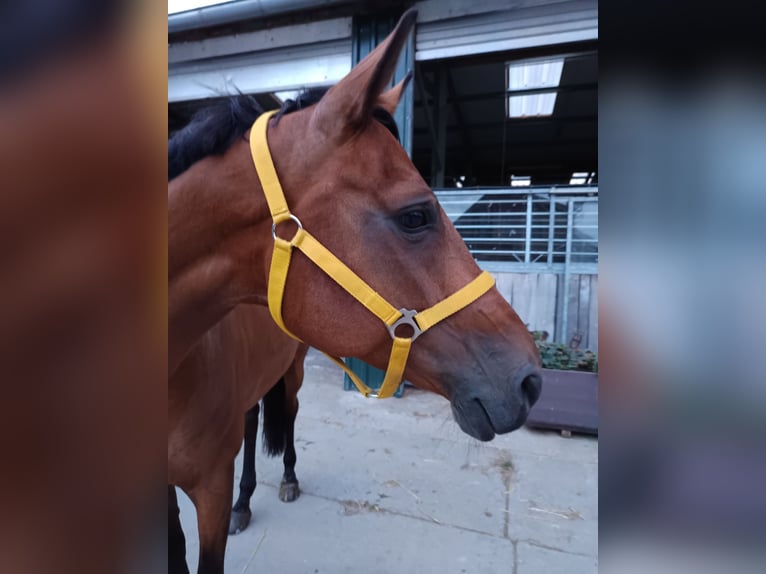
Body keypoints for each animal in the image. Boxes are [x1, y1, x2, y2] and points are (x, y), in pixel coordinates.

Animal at [168, 9, 542, 573]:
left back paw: (282, 483)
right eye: (416, 215)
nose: (530, 380)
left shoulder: (209, 487)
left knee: (284, 414)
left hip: (293, 369)